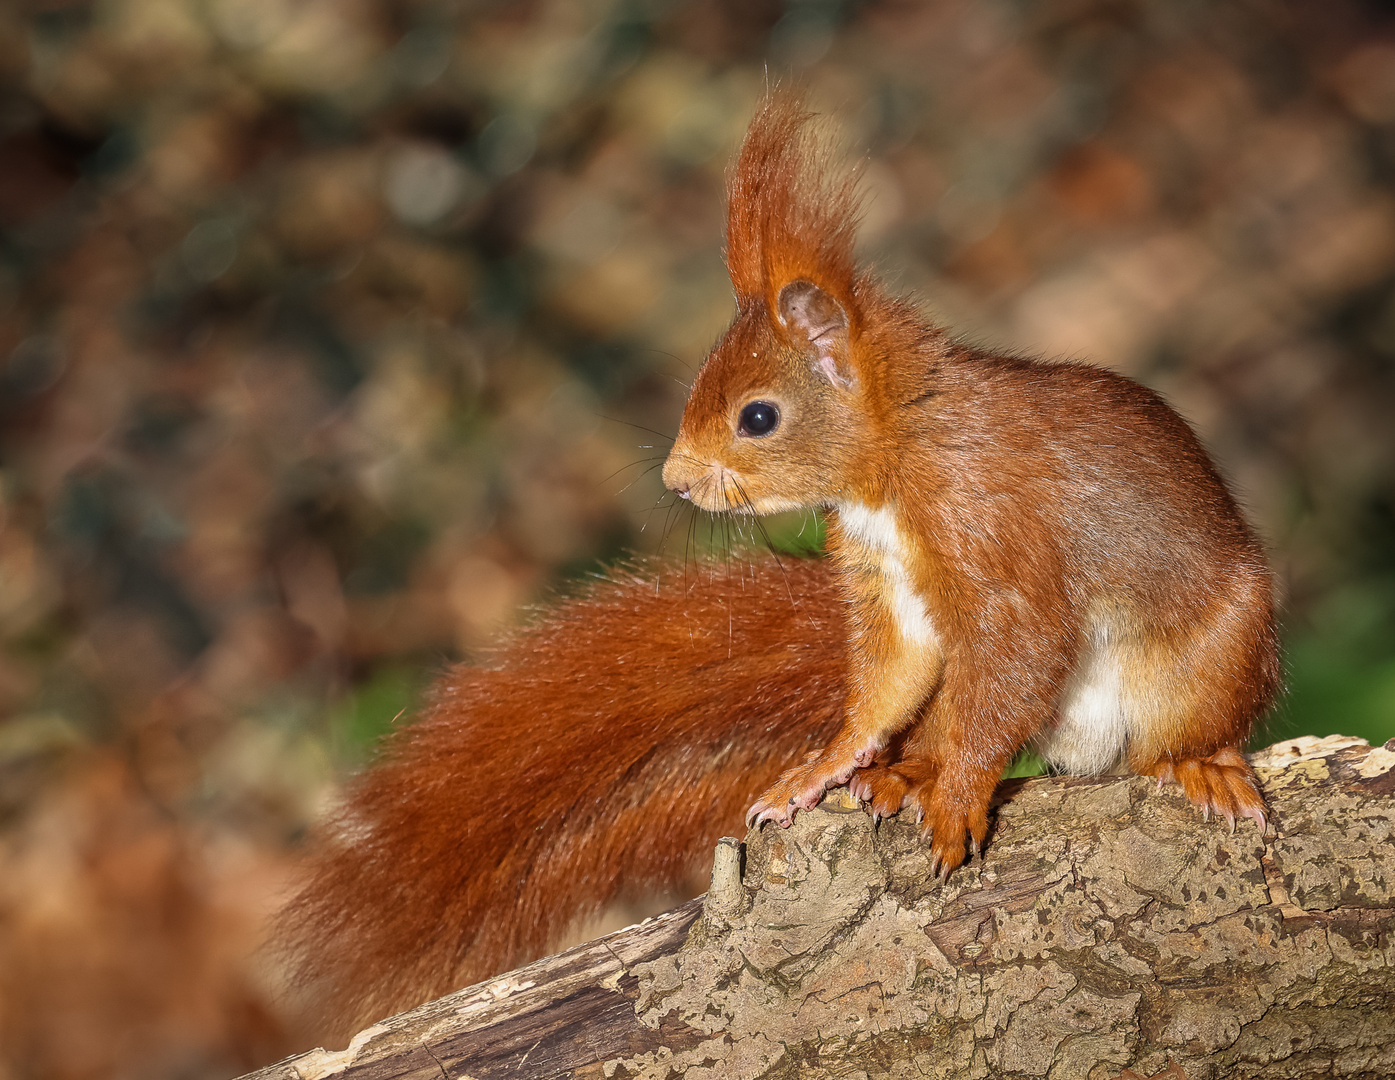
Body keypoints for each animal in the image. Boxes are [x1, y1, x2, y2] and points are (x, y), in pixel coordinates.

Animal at [277, 94, 1277, 1038]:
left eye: (757, 417)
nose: (677, 482)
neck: (894, 465)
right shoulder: (884, 587)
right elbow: (887, 683)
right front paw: (824, 769)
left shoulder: (997, 542)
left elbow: (1013, 663)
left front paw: (956, 797)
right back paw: (897, 774)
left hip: (1215, 657)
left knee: (1178, 726)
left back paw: (1199, 766)